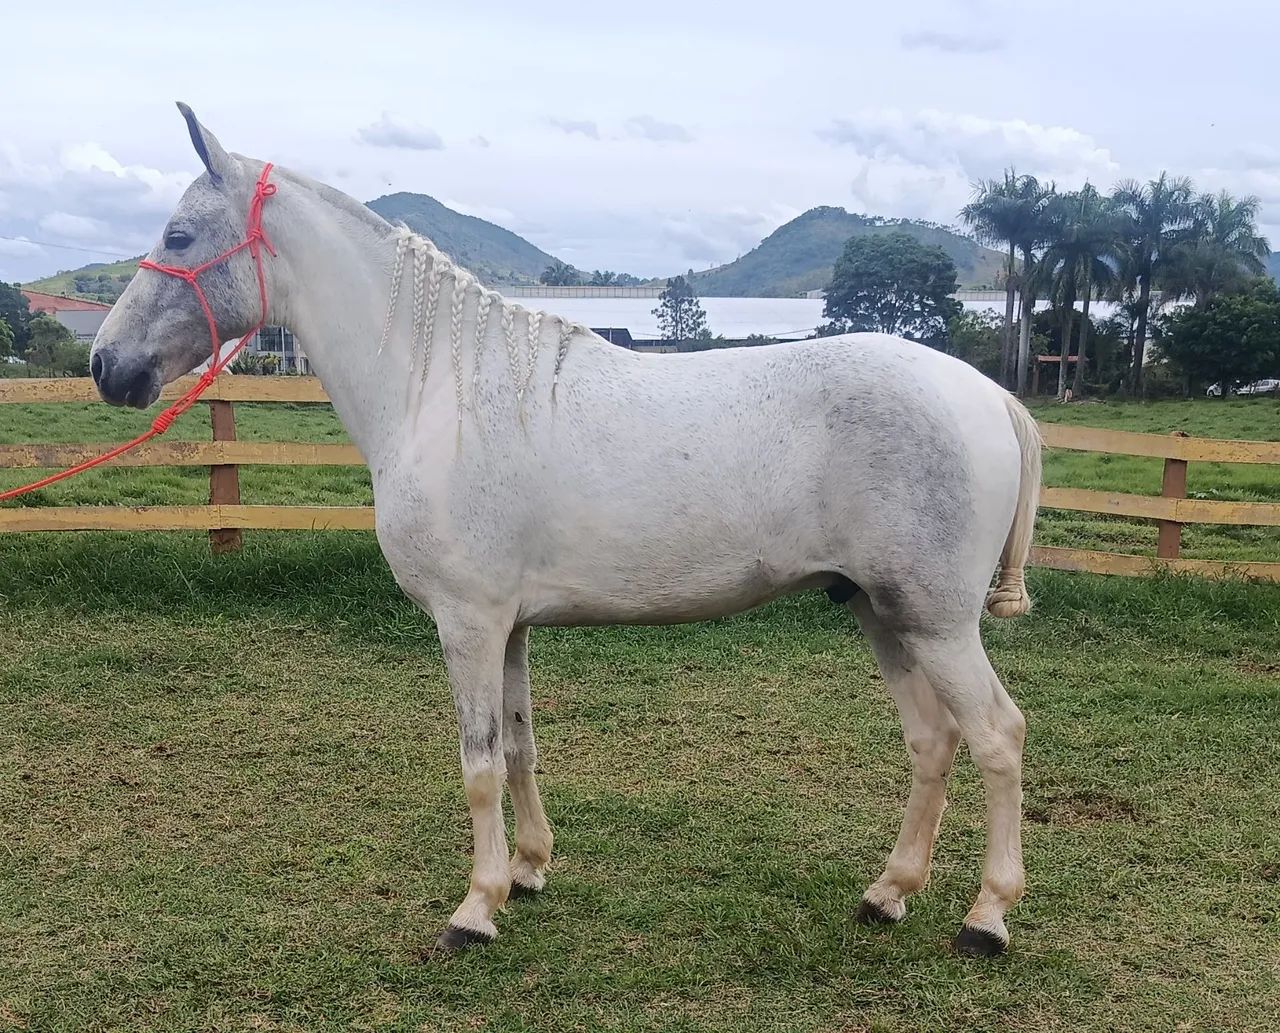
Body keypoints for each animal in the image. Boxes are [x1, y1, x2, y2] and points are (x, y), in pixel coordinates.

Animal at [89, 103, 1042, 957]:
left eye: (179, 234)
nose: (107, 365)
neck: (441, 387)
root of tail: (990, 396)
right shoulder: (508, 626)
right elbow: (518, 746)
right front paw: (528, 871)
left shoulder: (467, 623)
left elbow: (477, 762)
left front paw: (475, 908)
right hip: (882, 612)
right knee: (933, 740)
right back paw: (889, 893)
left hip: (936, 623)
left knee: (997, 735)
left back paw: (986, 917)